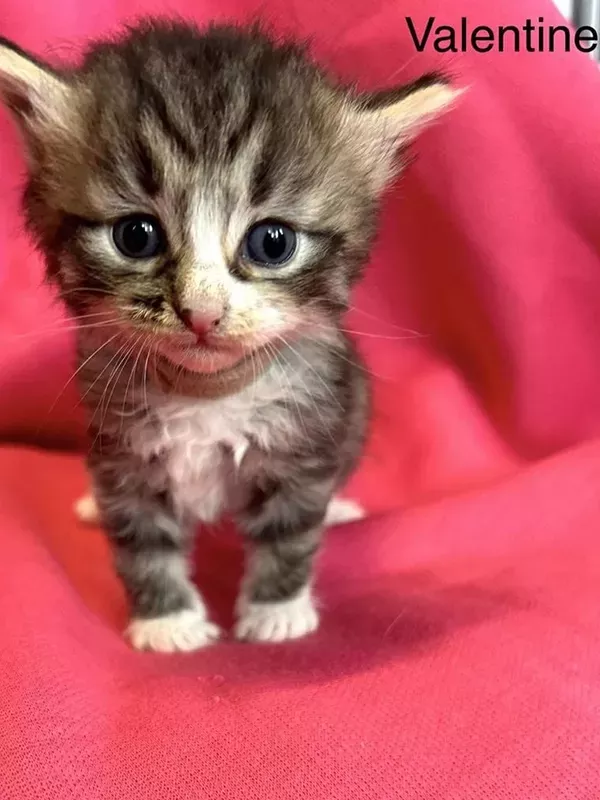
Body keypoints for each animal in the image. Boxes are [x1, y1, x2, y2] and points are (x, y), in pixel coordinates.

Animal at [0, 21, 460, 648]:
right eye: (136, 236)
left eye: (272, 242)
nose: (201, 311)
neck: (206, 396)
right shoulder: (121, 447)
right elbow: (140, 538)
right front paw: (167, 620)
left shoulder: (306, 439)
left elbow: (291, 531)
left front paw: (276, 610)